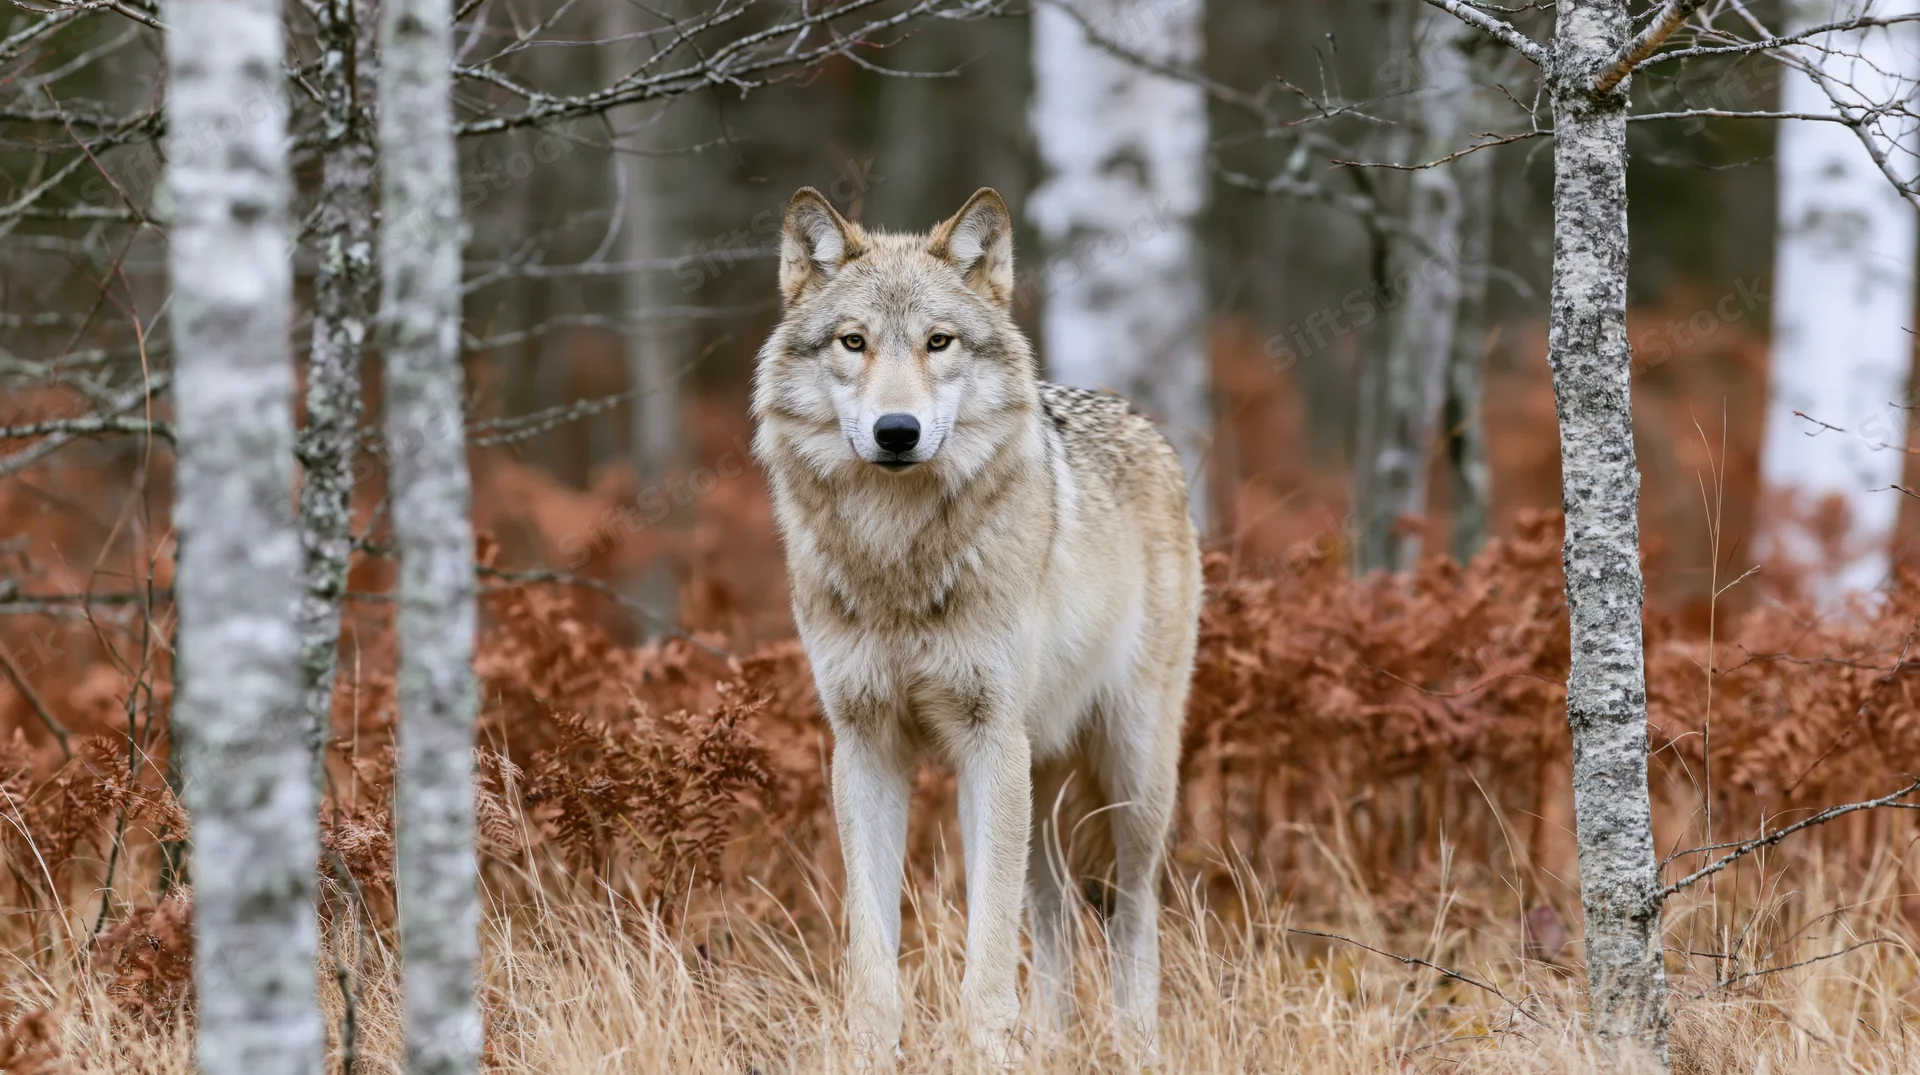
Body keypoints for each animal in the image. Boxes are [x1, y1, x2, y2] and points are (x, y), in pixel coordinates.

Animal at [752, 186, 1203, 1061]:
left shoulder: (988, 738)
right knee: (1055, 916)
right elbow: (871, 944)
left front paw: (989, 1049)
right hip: (1040, 777)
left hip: (1127, 776)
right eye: (854, 341)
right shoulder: (865, 744)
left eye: (939, 341)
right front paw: (873, 1050)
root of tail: (1143, 420)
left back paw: (1135, 1045)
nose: (897, 430)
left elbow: (988, 947)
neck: (896, 553)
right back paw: (1053, 1042)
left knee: (1133, 911)